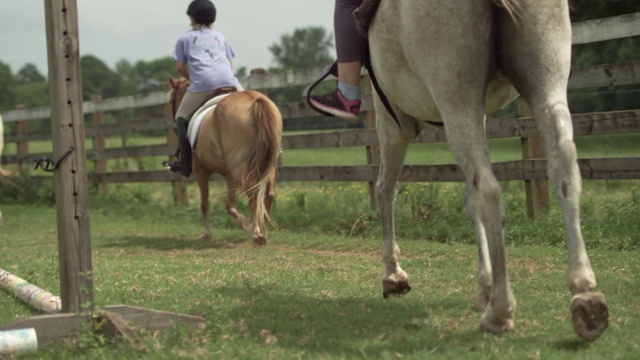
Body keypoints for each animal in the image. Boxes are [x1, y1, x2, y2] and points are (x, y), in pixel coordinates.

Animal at [168, 77, 282, 246]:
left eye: (170, 100)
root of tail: (254, 99)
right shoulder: (229, 174)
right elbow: (230, 205)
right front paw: (244, 222)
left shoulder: (200, 169)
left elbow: (204, 203)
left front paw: (207, 234)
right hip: (268, 165)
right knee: (268, 194)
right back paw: (263, 232)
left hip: (240, 167)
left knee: (253, 192)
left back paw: (257, 234)